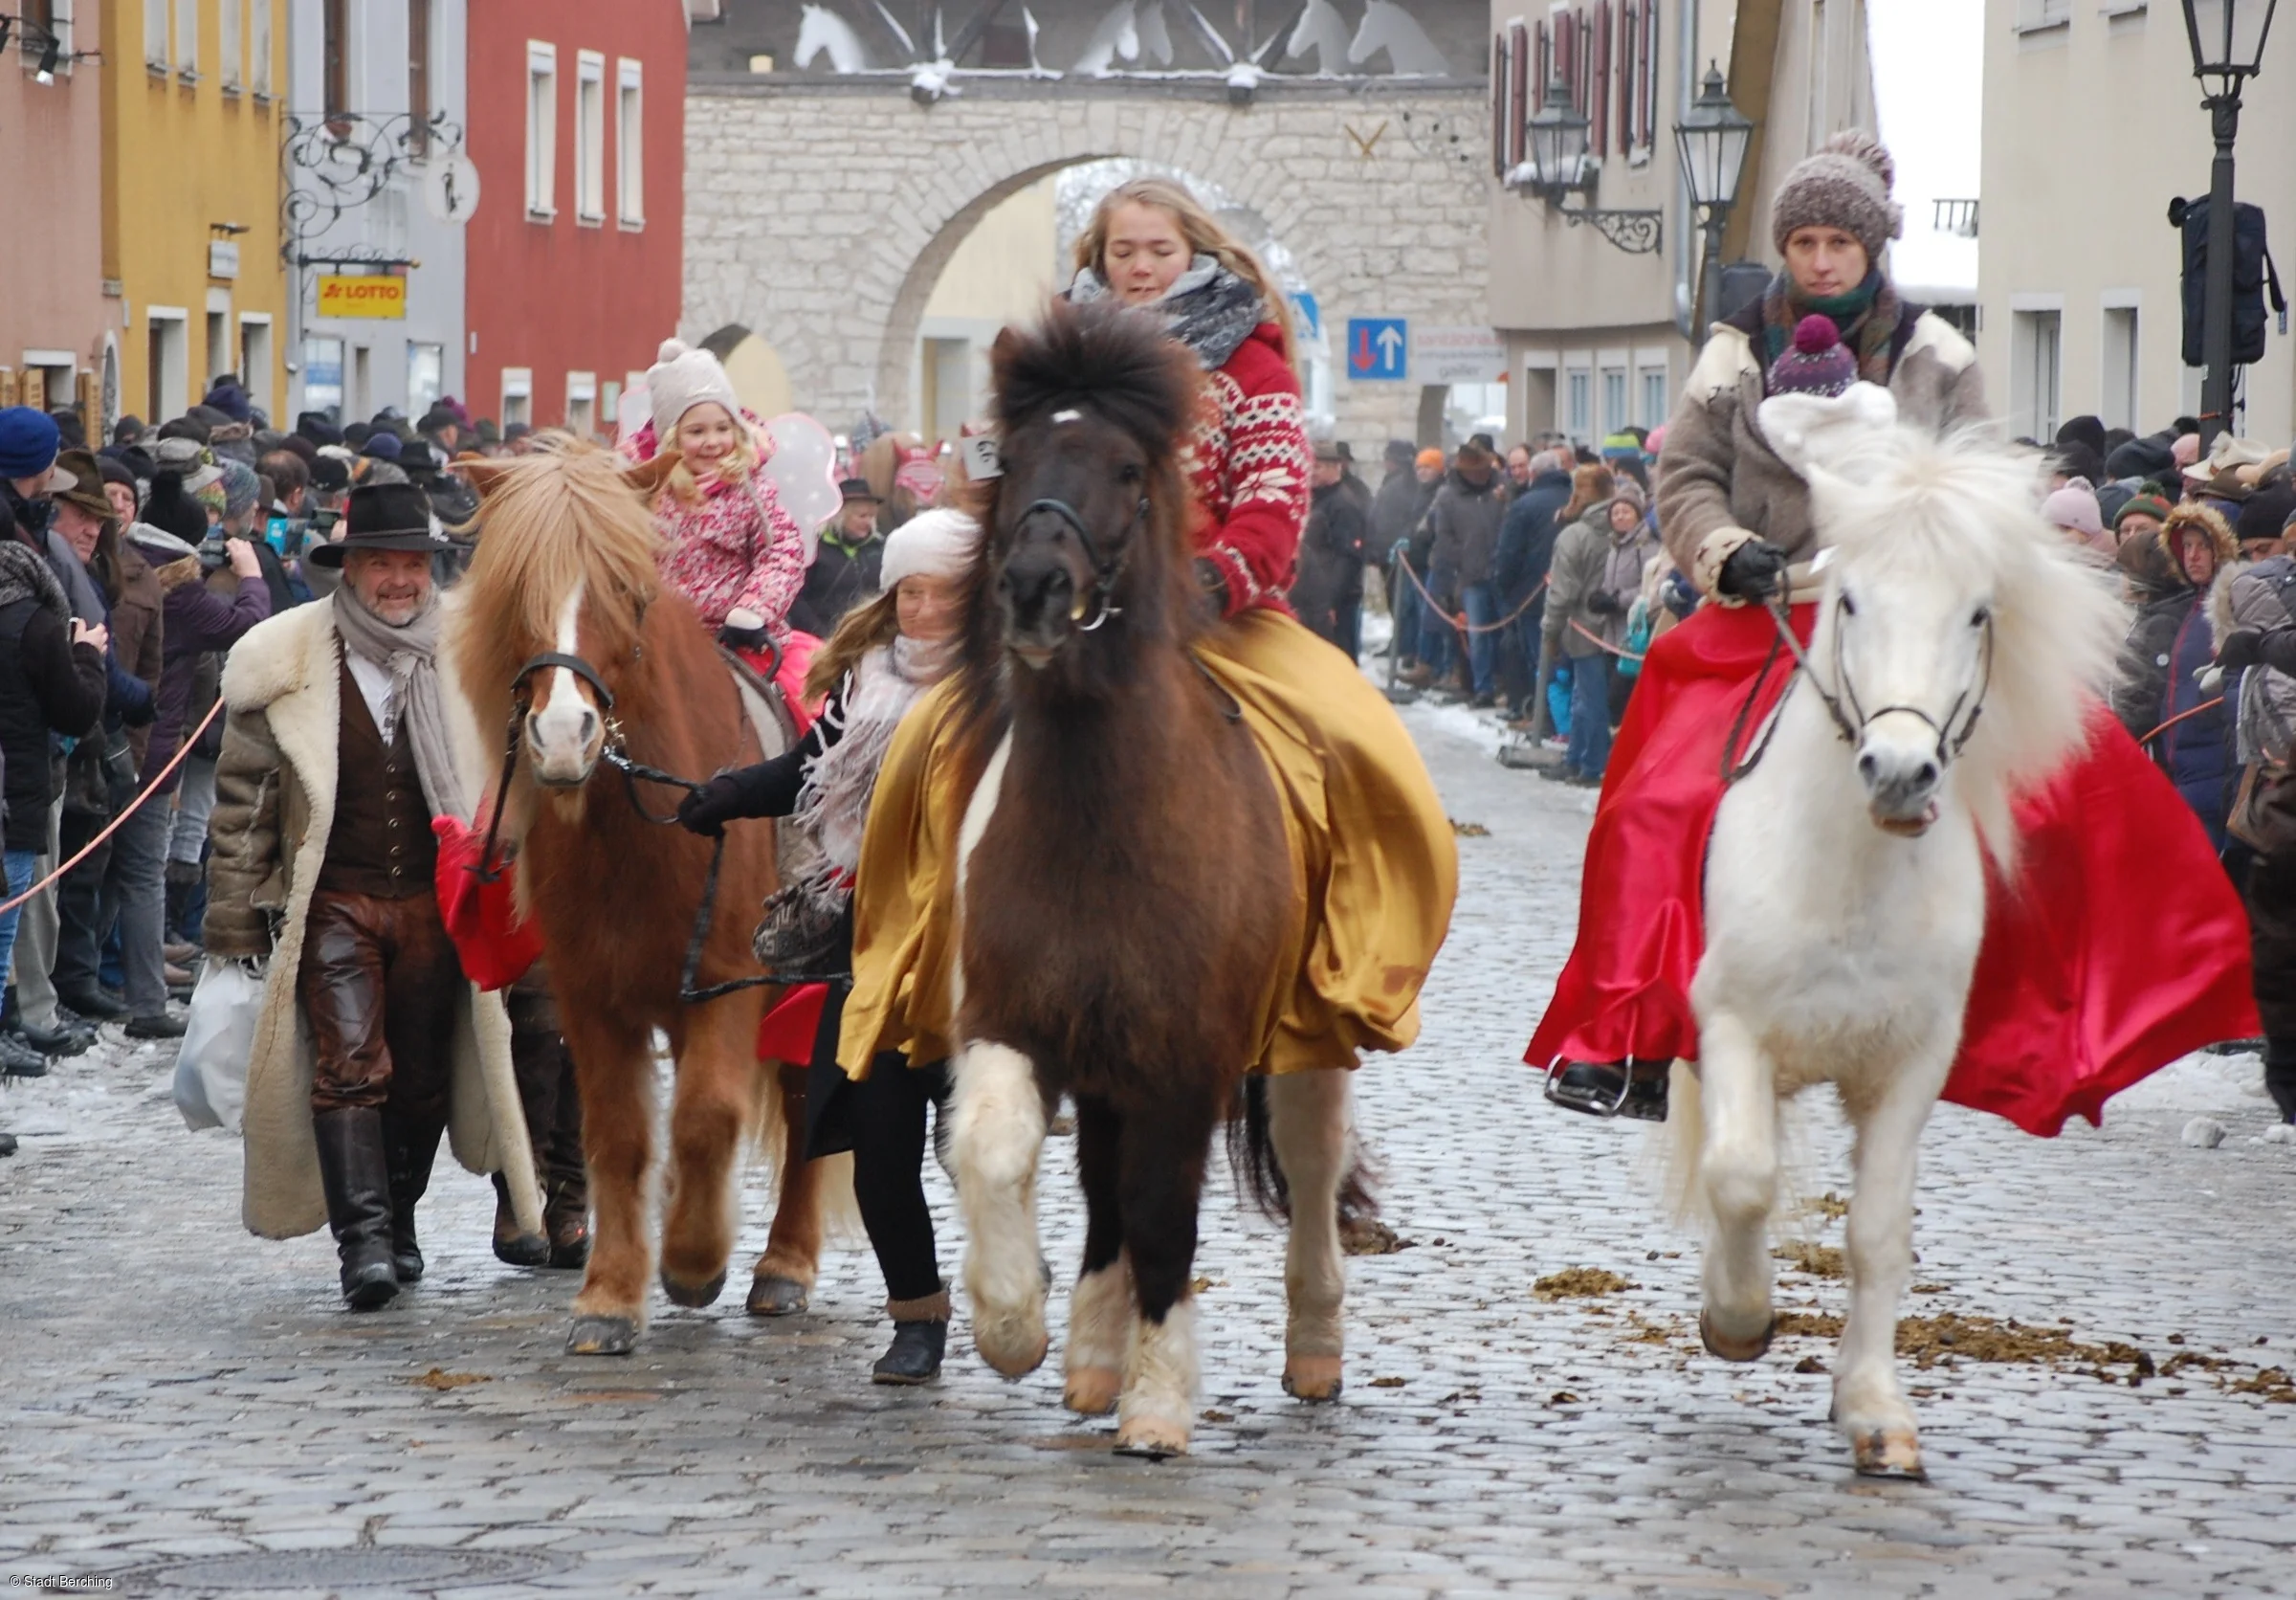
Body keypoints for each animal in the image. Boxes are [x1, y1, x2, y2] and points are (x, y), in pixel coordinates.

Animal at [450, 442, 845, 1349]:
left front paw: (694, 1263)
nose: (565, 736)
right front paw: (609, 1296)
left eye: (627, 591)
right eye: (516, 592)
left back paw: (784, 1266)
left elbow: (705, 1118)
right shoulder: (591, 993)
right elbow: (619, 1135)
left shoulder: (728, 981)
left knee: (801, 1105)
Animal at [937, 302, 1350, 1459]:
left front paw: (1159, 1406)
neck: (1100, 826)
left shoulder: (1185, 1051)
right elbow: (994, 1146)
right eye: (1012, 456)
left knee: (1309, 1163)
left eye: (1127, 468)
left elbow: (1167, 1212)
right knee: (1103, 1186)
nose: (1034, 587)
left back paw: (1313, 1348)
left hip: (1307, 1035)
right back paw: (1088, 1356)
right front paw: (1013, 1327)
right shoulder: (1015, 1014)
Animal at [1671, 381, 2130, 1478]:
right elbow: (1741, 1176)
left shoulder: (1912, 1060)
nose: (1899, 772)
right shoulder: (1733, 1025)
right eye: (1849, 601)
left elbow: (1879, 1230)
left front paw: (1874, 1410)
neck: (1853, 878)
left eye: (1977, 611)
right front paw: (1737, 1318)